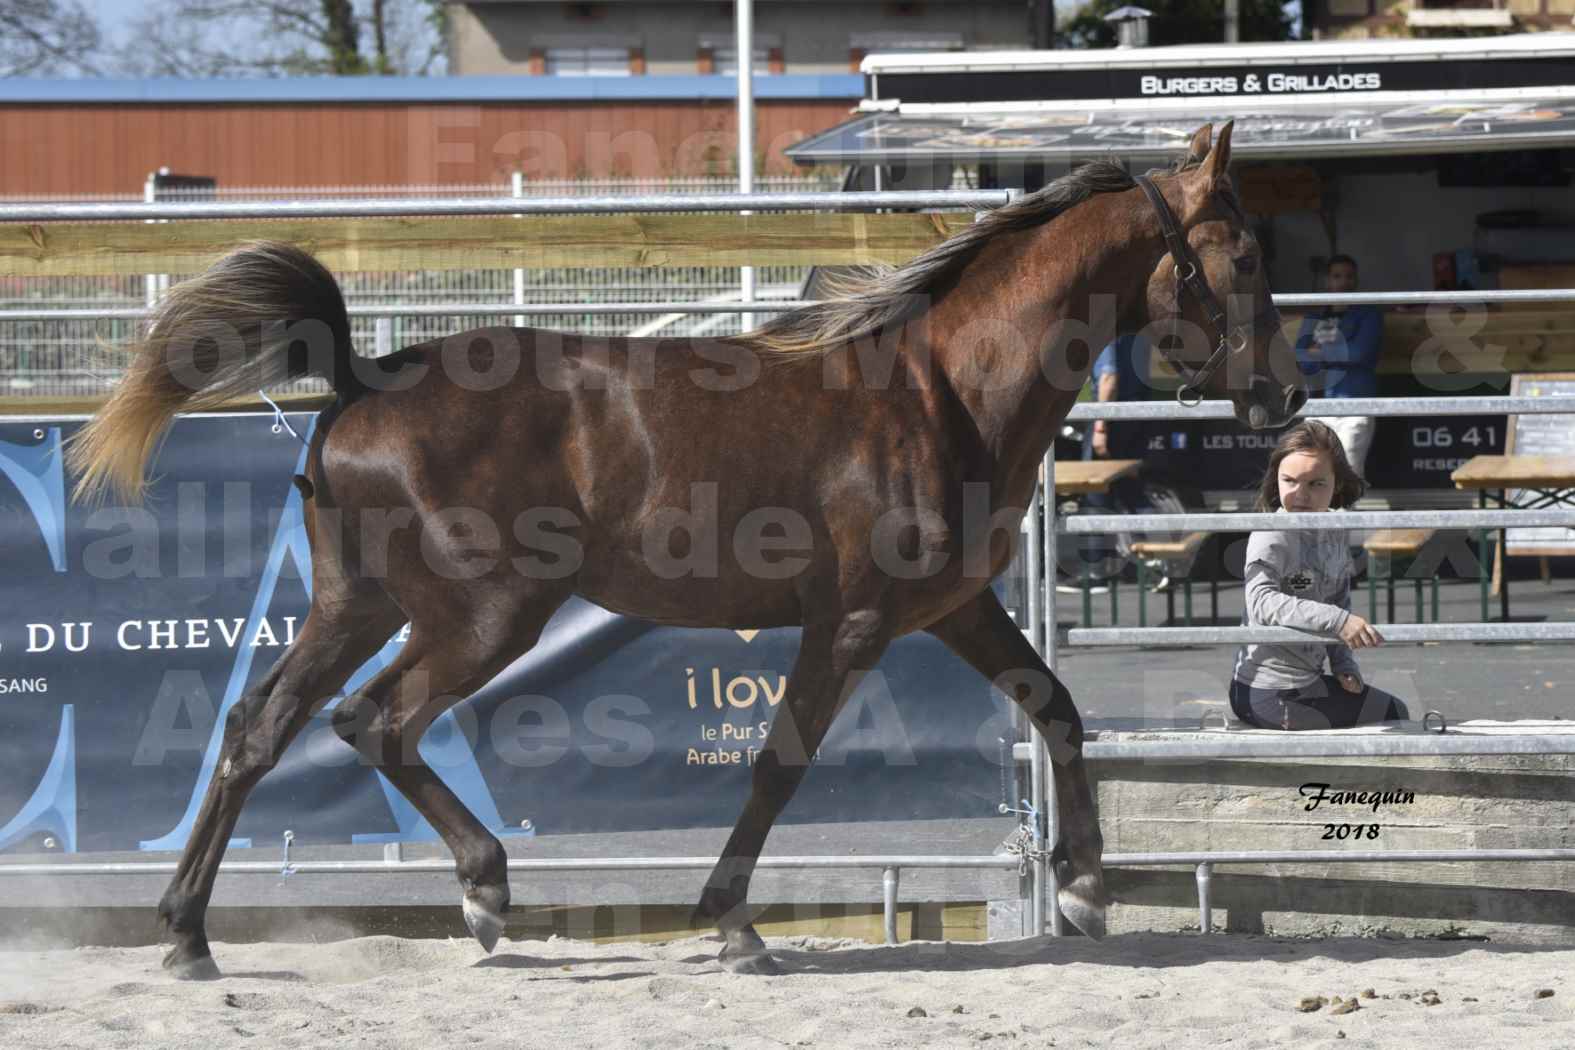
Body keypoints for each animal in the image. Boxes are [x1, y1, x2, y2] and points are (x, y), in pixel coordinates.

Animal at [70, 121, 1304, 976]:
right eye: (1242, 256)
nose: (1286, 397)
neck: (940, 390)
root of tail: (365, 377)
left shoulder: (955, 606)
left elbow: (1056, 707)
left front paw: (1086, 889)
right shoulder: (851, 621)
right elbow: (780, 760)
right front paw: (732, 925)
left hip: (357, 605)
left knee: (259, 727)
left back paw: (189, 935)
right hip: (482, 617)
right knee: (374, 720)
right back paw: (482, 892)